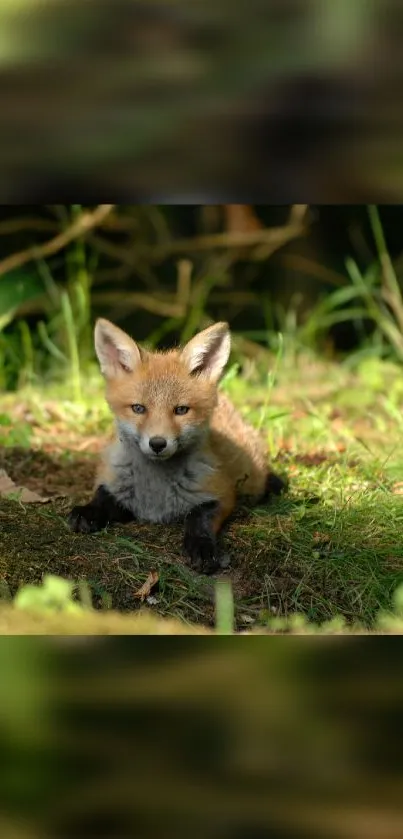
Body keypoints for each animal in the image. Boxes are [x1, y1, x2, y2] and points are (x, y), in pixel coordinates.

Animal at [68, 318, 286, 576]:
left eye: (181, 410)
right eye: (138, 408)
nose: (157, 443)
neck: (155, 493)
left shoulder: (220, 492)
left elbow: (197, 518)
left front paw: (201, 546)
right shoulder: (114, 482)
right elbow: (102, 497)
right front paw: (88, 511)